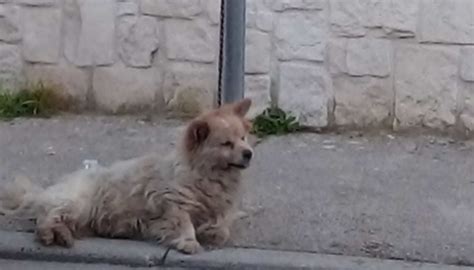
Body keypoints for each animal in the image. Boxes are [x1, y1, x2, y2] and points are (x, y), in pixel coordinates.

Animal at [0, 98, 256, 254]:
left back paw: (63, 235)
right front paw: (189, 241)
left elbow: (221, 228)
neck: (207, 177)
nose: (249, 153)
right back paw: (50, 234)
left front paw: (211, 233)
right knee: (47, 218)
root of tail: (48, 190)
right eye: (226, 143)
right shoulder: (173, 205)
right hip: (78, 204)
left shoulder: (219, 210)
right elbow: (183, 223)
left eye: (243, 138)